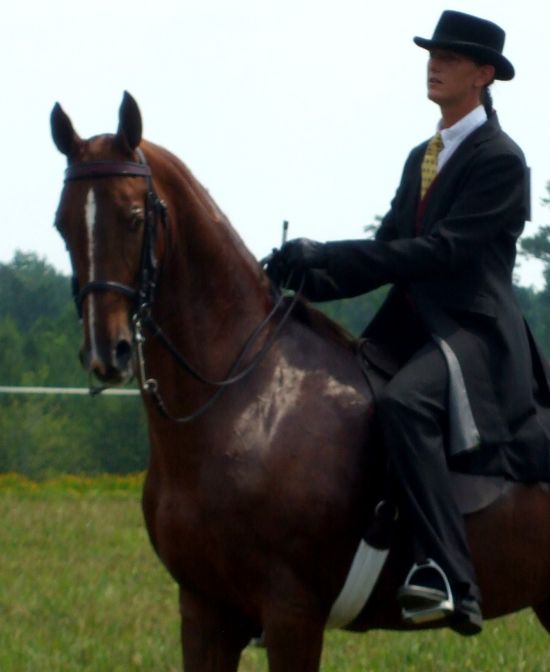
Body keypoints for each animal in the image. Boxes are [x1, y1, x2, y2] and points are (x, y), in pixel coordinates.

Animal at [50, 91, 550, 671]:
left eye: (134, 217)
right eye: (62, 223)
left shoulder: (292, 614)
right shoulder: (204, 609)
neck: (244, 401)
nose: (106, 352)